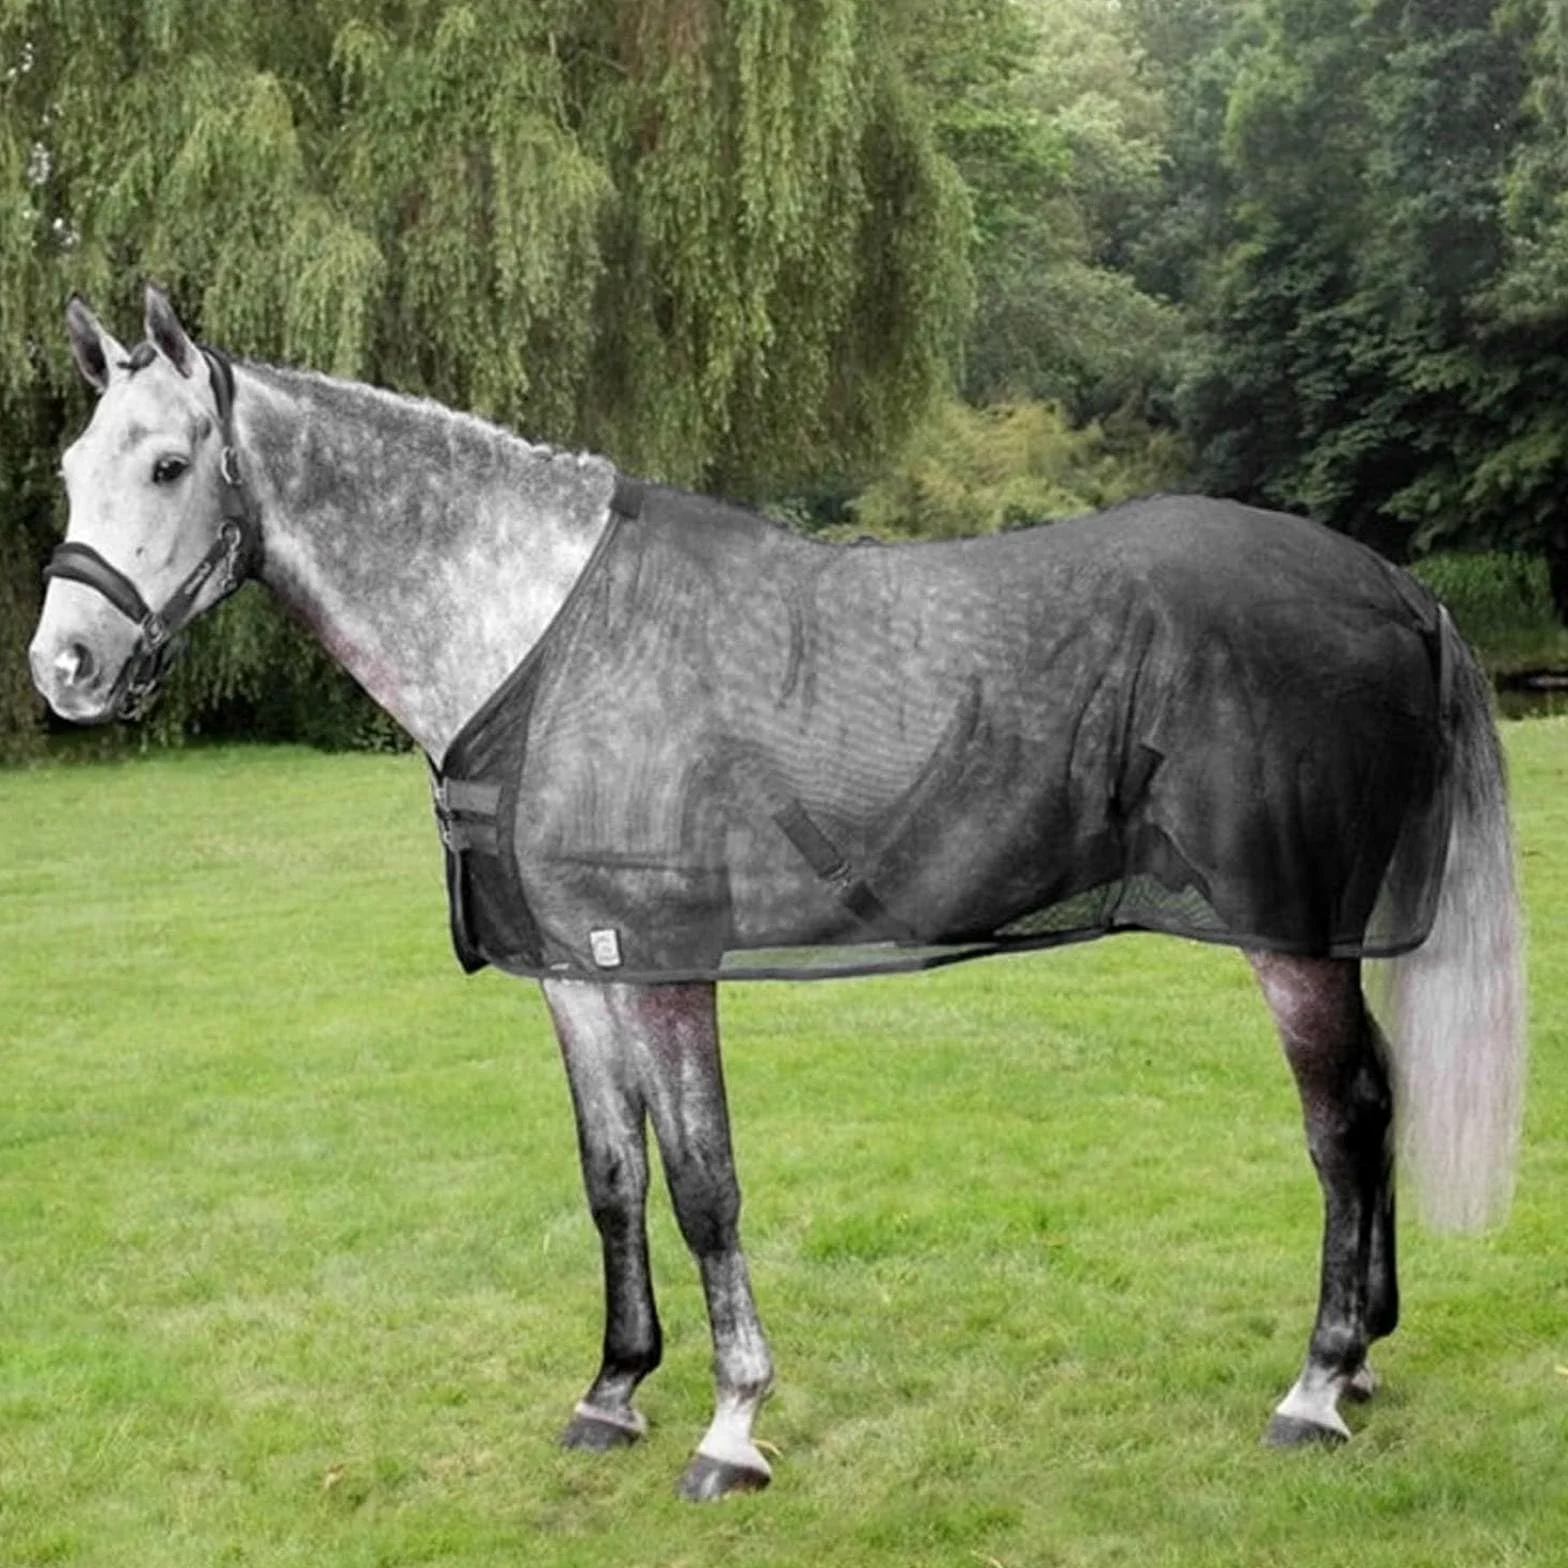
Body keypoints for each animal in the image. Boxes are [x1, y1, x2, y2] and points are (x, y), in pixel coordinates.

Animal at [28, 287, 1526, 1501]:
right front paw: (613, 1391)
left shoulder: (663, 964)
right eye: (69, 468)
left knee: (1341, 1126)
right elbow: (613, 1178)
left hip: (1291, 938)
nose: (65, 669)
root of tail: (1396, 589)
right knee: (1376, 1104)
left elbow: (705, 1185)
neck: (543, 640)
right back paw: (1364, 1360)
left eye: (168, 463)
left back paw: (1316, 1385)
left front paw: (731, 1425)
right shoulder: (578, 970)